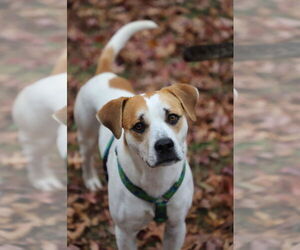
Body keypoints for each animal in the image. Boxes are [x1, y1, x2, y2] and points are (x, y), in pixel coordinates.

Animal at [74, 20, 198, 249]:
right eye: (139, 126)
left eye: (173, 117)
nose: (164, 145)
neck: (156, 177)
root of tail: (104, 74)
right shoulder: (125, 233)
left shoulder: (176, 226)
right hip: (85, 132)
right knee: (86, 156)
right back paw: (91, 179)